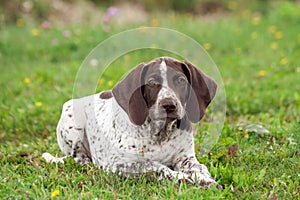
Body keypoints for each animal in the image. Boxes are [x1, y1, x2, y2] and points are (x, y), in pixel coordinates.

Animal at [42, 56, 220, 189]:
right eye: (152, 82)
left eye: (181, 80)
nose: (169, 105)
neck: (160, 133)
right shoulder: (119, 164)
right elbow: (156, 166)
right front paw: (181, 177)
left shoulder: (185, 158)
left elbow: (199, 167)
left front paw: (205, 180)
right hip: (72, 117)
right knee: (79, 158)